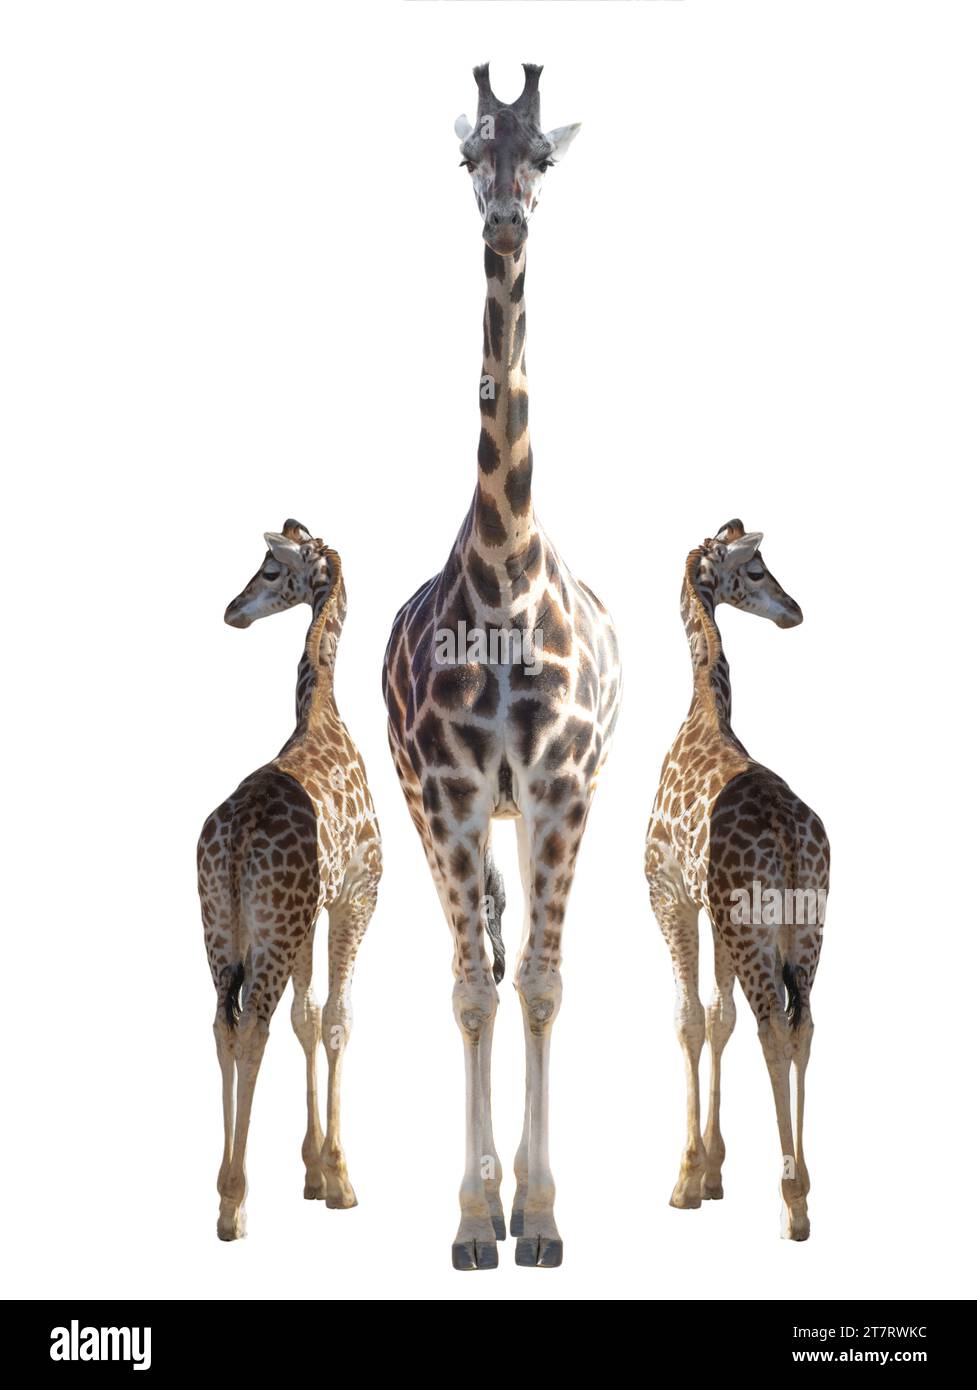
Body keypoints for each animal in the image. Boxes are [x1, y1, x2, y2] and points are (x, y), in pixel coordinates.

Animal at [197, 520, 382, 1241]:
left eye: (271, 571)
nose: (233, 610)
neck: (321, 717)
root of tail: (236, 842)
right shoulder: (357, 894)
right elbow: (336, 1018)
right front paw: (341, 1179)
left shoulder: (314, 906)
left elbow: (309, 1018)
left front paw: (312, 1172)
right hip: (270, 932)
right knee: (253, 1028)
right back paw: (234, 1206)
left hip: (221, 929)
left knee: (222, 1026)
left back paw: (227, 1193)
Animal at [645, 519, 829, 1240]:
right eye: (754, 571)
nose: (793, 610)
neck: (705, 715)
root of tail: (788, 840)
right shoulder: (710, 908)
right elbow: (716, 1018)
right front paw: (714, 1172)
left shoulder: (669, 894)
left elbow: (689, 1018)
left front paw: (685, 1179)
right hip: (807, 931)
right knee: (803, 1028)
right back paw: (802, 1193)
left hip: (755, 932)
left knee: (772, 1030)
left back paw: (792, 1205)